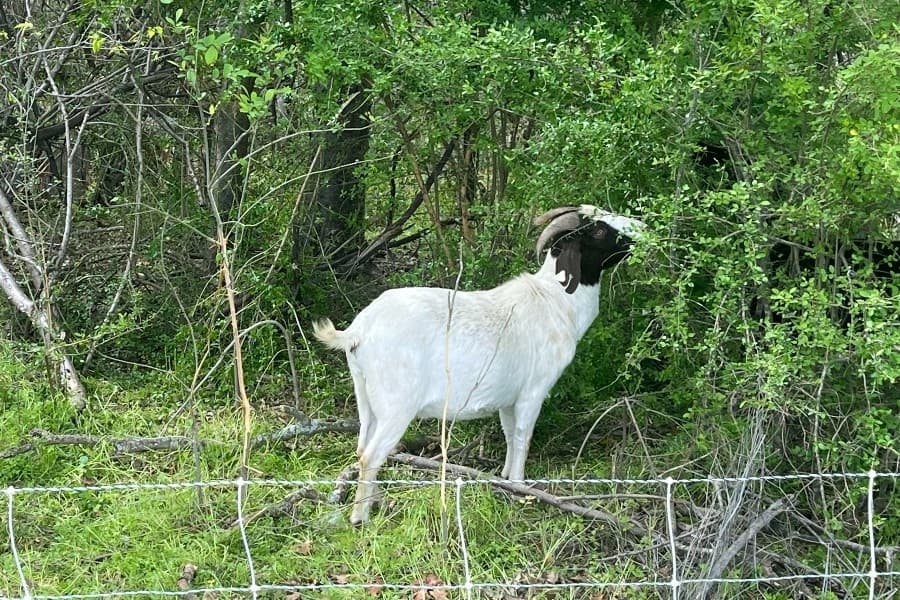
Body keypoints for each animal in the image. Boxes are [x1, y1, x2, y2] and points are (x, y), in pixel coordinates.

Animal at [313, 205, 646, 523]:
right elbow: (523, 437)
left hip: (366, 399)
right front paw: (521, 488)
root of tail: (357, 331)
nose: (641, 227)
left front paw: (506, 479)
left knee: (361, 448)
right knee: (371, 456)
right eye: (598, 230)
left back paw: (377, 502)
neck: (554, 301)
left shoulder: (508, 399)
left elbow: (510, 434)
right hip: (397, 406)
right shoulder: (533, 392)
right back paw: (360, 518)